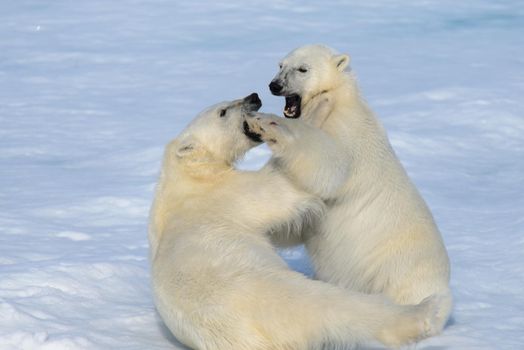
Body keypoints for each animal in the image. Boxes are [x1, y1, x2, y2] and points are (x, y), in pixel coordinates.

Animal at [149, 93, 440, 350]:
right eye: (223, 111)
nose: (253, 97)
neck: (184, 176)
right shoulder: (225, 195)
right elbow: (281, 188)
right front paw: (318, 108)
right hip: (277, 292)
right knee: (341, 306)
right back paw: (423, 311)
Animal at [244, 44, 452, 334]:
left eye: (303, 69)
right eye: (281, 65)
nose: (275, 85)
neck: (339, 100)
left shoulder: (346, 134)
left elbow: (330, 168)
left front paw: (268, 124)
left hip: (398, 273)